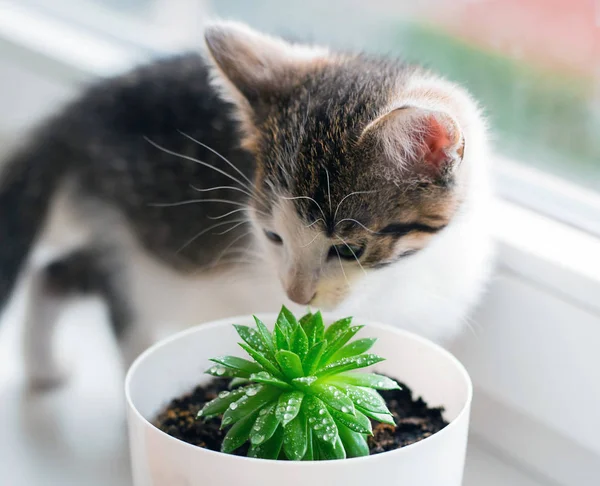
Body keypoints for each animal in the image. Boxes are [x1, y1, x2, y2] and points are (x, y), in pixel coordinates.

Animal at [0, 21, 492, 388]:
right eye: (273, 236)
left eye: (348, 250)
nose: (295, 296)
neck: (401, 275)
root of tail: (81, 109)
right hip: (149, 253)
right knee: (119, 303)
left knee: (55, 273)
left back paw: (45, 368)